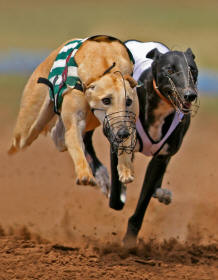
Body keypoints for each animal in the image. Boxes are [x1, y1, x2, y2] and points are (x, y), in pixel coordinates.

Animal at [8, 36, 138, 187]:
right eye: (106, 100)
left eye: (128, 101)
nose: (123, 133)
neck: (106, 63)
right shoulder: (75, 124)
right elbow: (77, 148)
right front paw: (84, 174)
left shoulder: (127, 121)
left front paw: (125, 170)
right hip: (26, 130)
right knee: (20, 143)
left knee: (58, 136)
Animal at [83, 40, 199, 246]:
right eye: (170, 69)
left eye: (192, 69)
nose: (190, 95)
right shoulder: (117, 143)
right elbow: (116, 201)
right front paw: (116, 185)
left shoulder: (161, 157)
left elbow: (145, 197)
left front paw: (129, 240)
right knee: (86, 139)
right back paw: (102, 176)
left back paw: (161, 192)